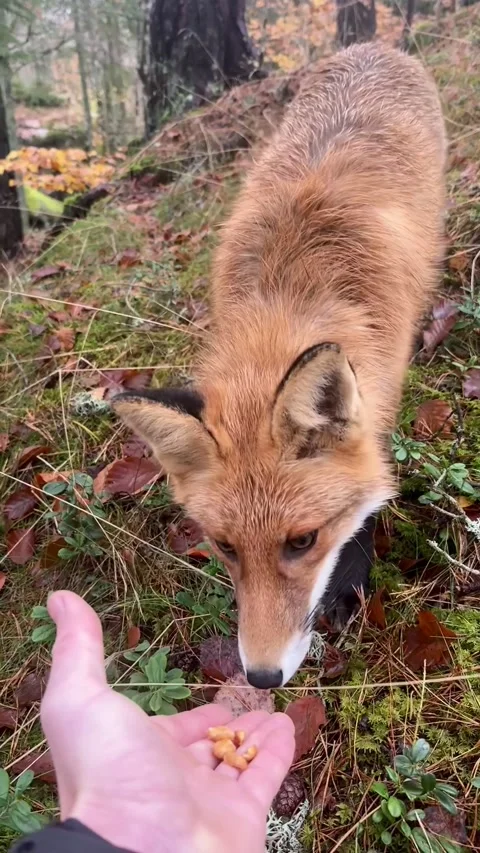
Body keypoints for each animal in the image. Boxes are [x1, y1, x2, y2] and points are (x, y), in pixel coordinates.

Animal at [113, 43, 446, 689]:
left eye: (304, 540)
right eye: (225, 547)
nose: (262, 677)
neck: (290, 292)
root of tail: (373, 47)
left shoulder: (382, 387)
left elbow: (368, 494)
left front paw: (350, 582)